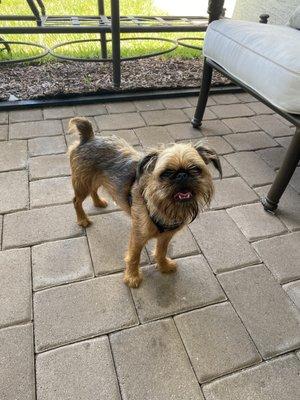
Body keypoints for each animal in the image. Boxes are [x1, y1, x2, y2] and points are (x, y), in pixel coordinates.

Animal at [69, 116, 221, 288]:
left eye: (195, 169)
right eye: (166, 173)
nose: (182, 175)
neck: (166, 205)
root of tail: (88, 136)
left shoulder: (166, 236)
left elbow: (161, 251)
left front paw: (164, 266)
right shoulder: (138, 235)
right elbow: (134, 256)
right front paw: (132, 277)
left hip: (95, 179)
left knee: (94, 190)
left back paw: (98, 202)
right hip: (83, 183)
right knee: (76, 201)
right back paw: (82, 219)